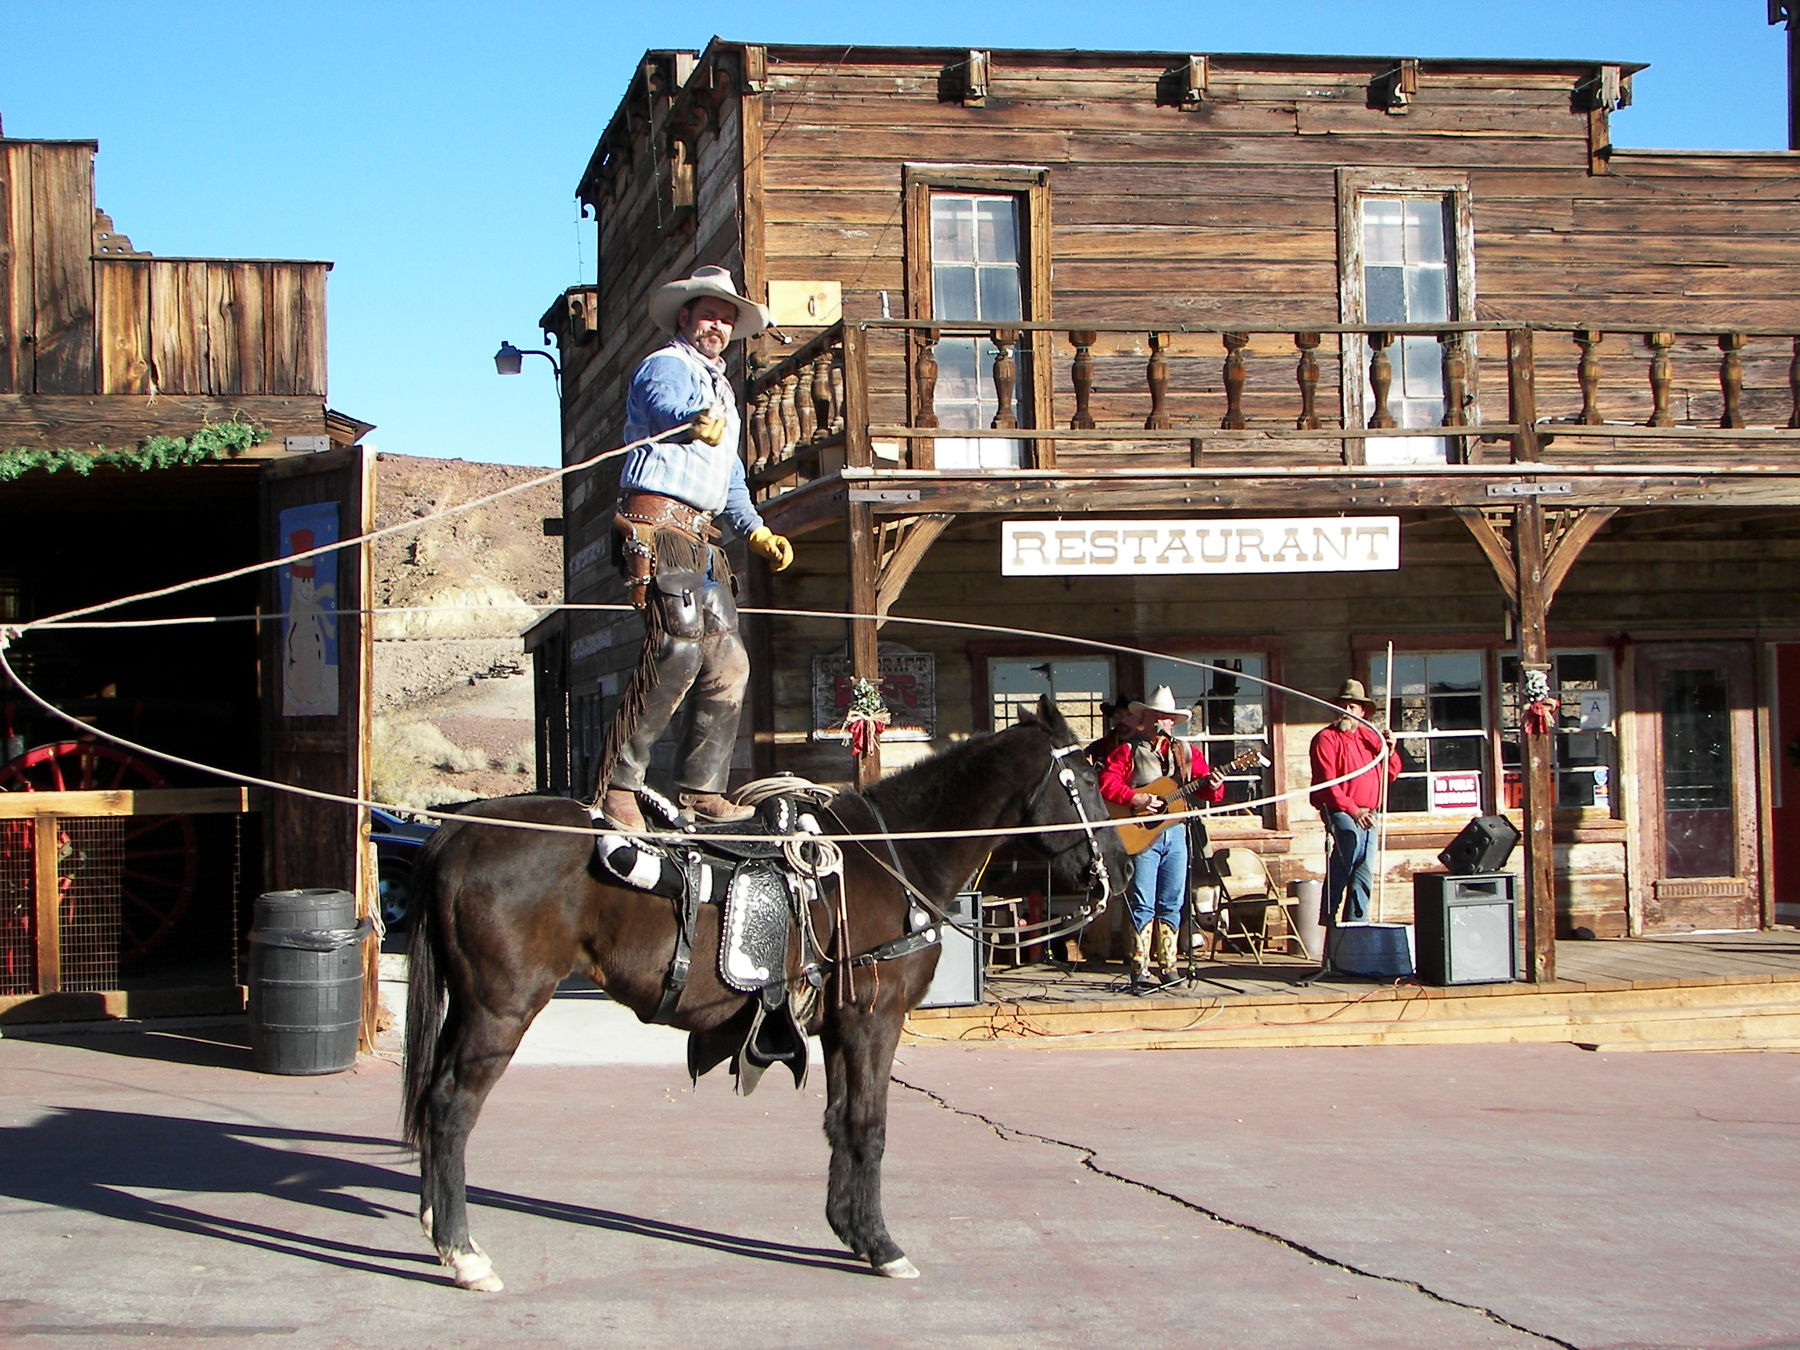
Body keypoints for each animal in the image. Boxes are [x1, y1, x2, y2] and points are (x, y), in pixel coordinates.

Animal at [405, 702, 1123, 1296]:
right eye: (1086, 783)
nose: (1114, 869)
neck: (891, 858)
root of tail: (458, 832)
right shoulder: (873, 1021)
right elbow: (869, 1127)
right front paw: (883, 1246)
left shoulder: (838, 1027)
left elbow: (839, 1122)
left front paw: (850, 1230)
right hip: (501, 1009)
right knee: (451, 1107)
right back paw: (463, 1253)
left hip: (468, 1005)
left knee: (433, 1101)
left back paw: (436, 1227)